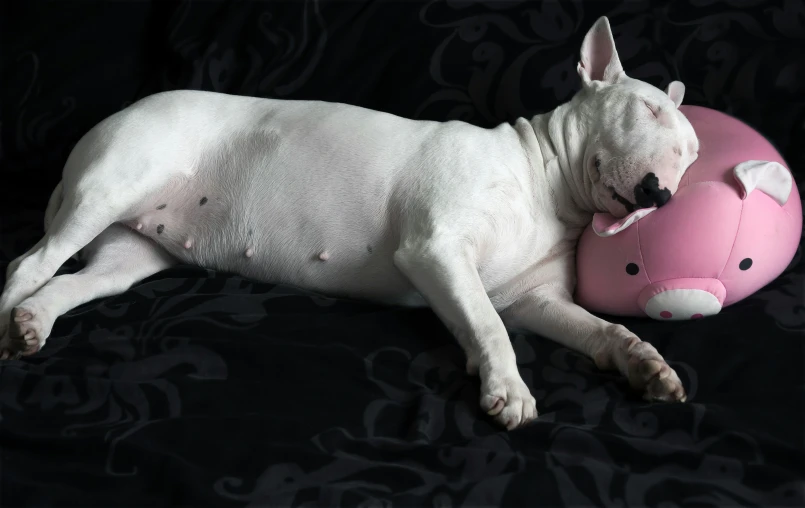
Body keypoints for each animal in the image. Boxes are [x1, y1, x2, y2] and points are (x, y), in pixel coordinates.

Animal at [0, 16, 696, 428]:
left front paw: (646, 364)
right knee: (27, 263)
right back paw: (10, 322)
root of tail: (118, 113)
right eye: (645, 111)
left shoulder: (536, 300)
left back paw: (33, 323)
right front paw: (508, 388)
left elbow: (595, 329)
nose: (661, 195)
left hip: (133, 253)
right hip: (111, 187)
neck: (543, 185)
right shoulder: (436, 249)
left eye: (692, 156)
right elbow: (489, 324)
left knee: (73, 281)